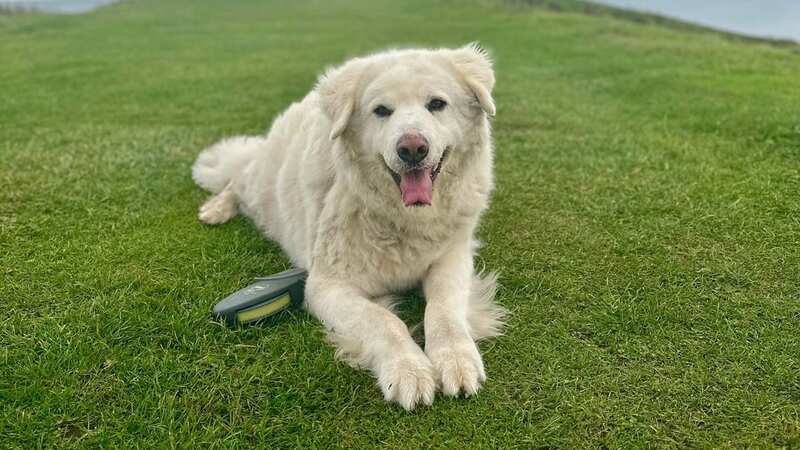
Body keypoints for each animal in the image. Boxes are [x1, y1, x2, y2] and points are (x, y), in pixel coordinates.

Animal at [192, 44, 506, 410]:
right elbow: (384, 322)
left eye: (437, 104)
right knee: (236, 177)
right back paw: (216, 208)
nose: (412, 148)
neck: (403, 219)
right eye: (381, 111)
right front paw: (408, 370)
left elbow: (443, 310)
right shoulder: (326, 285)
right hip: (259, 187)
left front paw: (456, 359)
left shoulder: (451, 258)